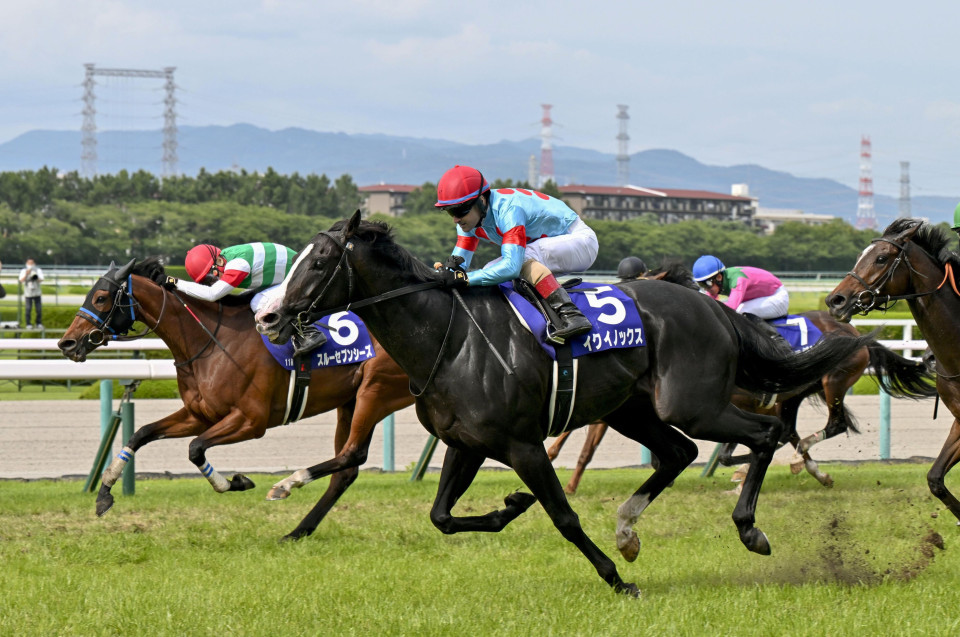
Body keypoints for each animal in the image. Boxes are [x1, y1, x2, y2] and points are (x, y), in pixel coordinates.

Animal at [57, 257, 414, 539]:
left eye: (101, 297)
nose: (67, 343)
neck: (209, 342)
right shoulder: (199, 414)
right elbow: (140, 434)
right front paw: (104, 493)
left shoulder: (251, 421)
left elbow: (195, 448)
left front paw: (236, 482)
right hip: (349, 401)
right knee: (345, 470)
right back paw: (299, 530)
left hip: (376, 391)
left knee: (352, 455)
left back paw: (286, 489)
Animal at [255, 211, 872, 596]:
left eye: (318, 262)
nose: (268, 316)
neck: (450, 339)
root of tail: (712, 307)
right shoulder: (466, 444)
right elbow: (442, 517)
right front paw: (509, 507)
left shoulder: (522, 445)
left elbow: (564, 516)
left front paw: (616, 581)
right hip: (633, 409)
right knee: (679, 453)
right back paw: (627, 531)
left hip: (690, 403)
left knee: (763, 434)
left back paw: (749, 530)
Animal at [547, 264, 937, 494]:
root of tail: (853, 333)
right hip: (793, 395)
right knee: (792, 431)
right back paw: (808, 468)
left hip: (833, 383)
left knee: (833, 424)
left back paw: (798, 464)